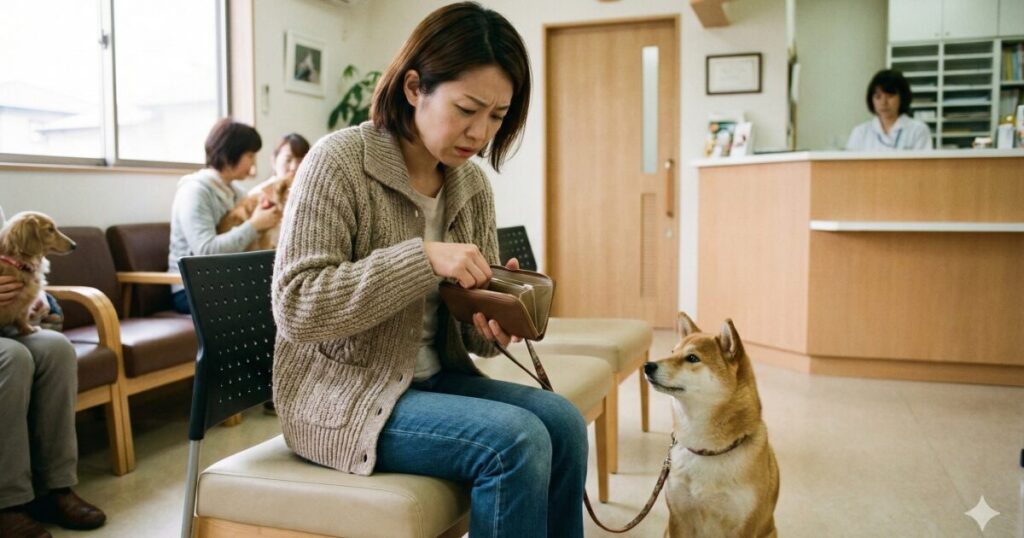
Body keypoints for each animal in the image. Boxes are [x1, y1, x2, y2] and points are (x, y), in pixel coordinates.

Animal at [644, 312, 779, 538]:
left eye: (692, 358)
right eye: (672, 352)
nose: (647, 365)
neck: (707, 451)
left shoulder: (744, 526)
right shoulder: (678, 519)